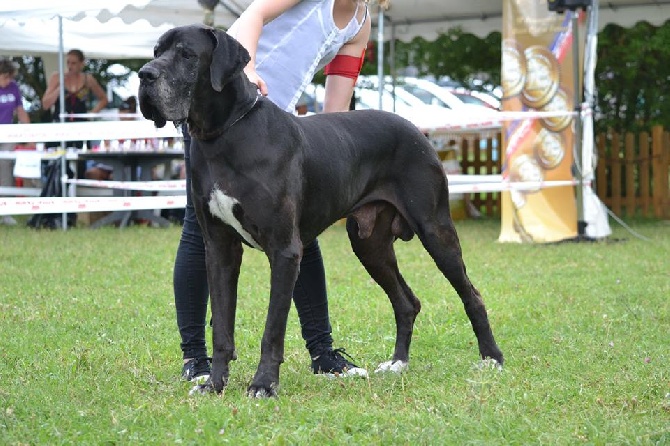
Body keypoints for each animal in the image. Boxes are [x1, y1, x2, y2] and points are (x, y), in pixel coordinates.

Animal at [138, 24, 504, 398]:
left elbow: (273, 328)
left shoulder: (284, 250)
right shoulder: (219, 250)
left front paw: (264, 384)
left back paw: (492, 358)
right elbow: (221, 327)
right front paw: (214, 384)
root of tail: (416, 129)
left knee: (471, 294)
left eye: (186, 54)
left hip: (435, 228)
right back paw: (398, 363)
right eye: (156, 52)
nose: (144, 75)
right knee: (406, 302)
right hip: (370, 245)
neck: (223, 134)